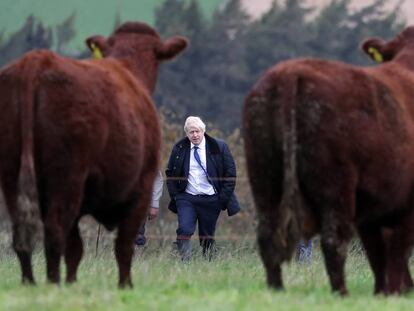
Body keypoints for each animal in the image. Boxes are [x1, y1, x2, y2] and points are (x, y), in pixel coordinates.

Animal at [0, 22, 188, 288]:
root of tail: (36, 61)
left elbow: (76, 249)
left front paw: (73, 282)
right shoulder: (142, 187)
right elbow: (123, 246)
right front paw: (125, 286)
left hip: (11, 174)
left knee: (22, 234)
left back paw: (31, 283)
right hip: (68, 177)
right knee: (55, 231)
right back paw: (54, 284)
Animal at [244, 26, 414, 294]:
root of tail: (288, 72)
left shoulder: (372, 211)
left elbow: (379, 257)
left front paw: (382, 294)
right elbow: (395, 255)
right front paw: (394, 293)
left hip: (263, 177)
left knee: (267, 236)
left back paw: (276, 291)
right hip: (335, 184)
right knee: (334, 240)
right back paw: (341, 294)